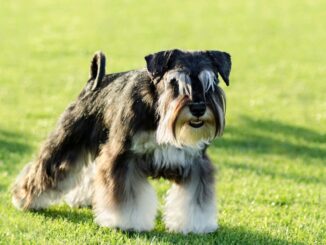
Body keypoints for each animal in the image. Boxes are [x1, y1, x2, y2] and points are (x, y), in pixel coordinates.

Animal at [12, 49, 232, 234]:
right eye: (174, 82)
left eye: (212, 82)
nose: (198, 108)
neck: (158, 109)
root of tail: (93, 81)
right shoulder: (123, 158)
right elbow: (126, 197)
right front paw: (125, 223)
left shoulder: (196, 163)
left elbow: (195, 198)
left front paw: (196, 225)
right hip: (69, 142)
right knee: (45, 168)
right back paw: (23, 198)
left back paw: (82, 199)